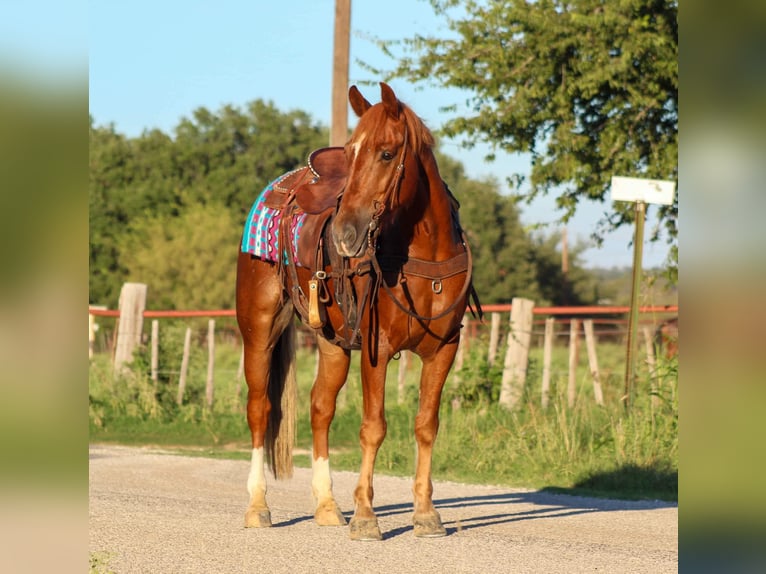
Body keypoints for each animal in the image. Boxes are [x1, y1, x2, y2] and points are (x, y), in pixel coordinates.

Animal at [237, 83, 484, 544]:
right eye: (350, 153)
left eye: (387, 153)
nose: (344, 233)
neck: (423, 256)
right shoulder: (378, 348)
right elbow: (374, 426)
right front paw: (367, 516)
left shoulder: (444, 349)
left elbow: (426, 424)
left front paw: (426, 514)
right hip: (259, 328)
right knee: (260, 408)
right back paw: (258, 507)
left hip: (332, 343)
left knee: (320, 408)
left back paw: (328, 506)